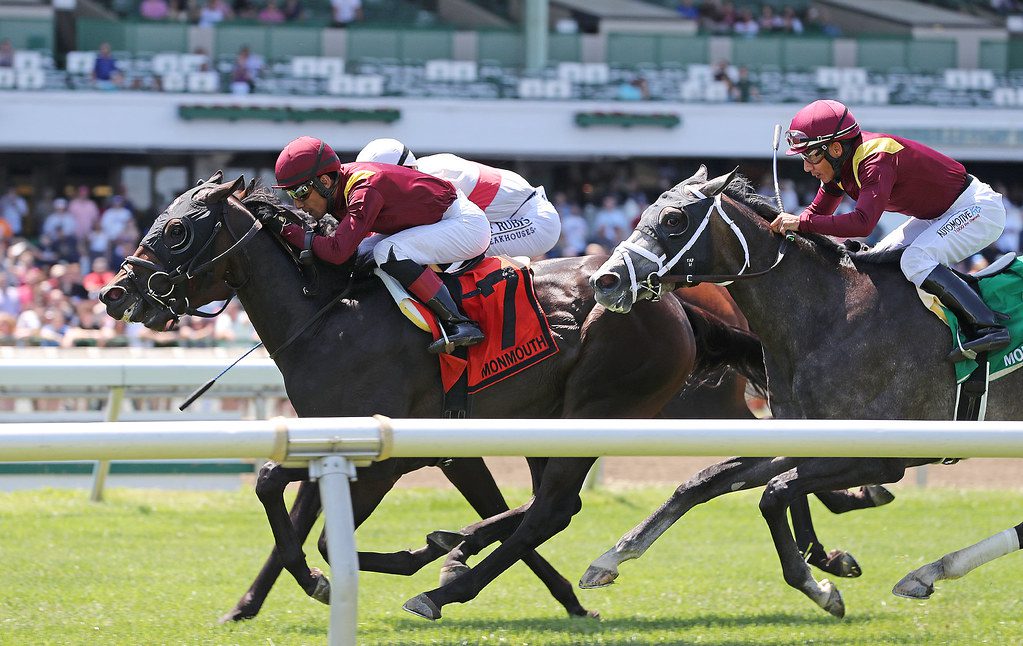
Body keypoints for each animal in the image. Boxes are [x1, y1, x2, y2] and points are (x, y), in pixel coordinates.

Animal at [97, 174, 773, 622]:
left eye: (177, 229)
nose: (114, 292)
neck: (328, 318)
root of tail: (677, 303)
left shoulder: (390, 455)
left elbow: (320, 535)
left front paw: (345, 575)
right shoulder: (354, 439)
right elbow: (279, 496)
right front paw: (250, 603)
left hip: (598, 410)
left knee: (552, 509)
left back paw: (444, 583)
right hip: (552, 421)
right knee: (548, 507)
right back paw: (457, 551)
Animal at [589, 163, 1023, 618]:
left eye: (675, 220)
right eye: (642, 213)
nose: (605, 281)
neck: (829, 316)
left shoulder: (882, 458)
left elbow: (774, 493)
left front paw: (817, 584)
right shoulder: (803, 434)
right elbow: (704, 480)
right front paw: (612, 557)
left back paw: (927, 572)